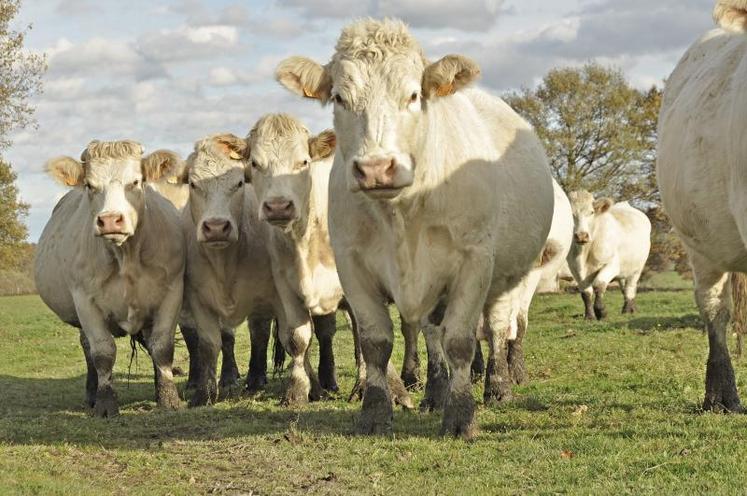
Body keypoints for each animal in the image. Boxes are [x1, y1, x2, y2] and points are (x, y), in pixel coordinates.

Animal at [34, 141, 187, 416]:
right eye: (89, 185)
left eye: (136, 182)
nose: (110, 220)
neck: (126, 258)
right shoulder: (84, 300)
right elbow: (103, 352)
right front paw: (105, 403)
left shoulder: (172, 292)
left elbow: (162, 347)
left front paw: (168, 399)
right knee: (87, 346)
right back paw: (92, 393)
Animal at [248, 113, 414, 406]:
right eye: (255, 163)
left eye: (303, 161)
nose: (278, 206)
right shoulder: (285, 288)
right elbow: (297, 339)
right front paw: (298, 391)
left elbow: (366, 336)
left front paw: (389, 389)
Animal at [276, 18, 556, 438]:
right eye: (340, 98)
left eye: (412, 95)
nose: (375, 168)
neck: (401, 216)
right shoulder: (352, 266)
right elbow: (376, 342)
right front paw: (376, 412)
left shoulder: (474, 262)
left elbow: (460, 342)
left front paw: (461, 416)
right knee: (433, 332)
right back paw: (435, 394)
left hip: (506, 278)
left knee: (494, 328)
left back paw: (497, 387)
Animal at [568, 190, 652, 322]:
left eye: (591, 212)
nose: (581, 236)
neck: (584, 253)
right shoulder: (575, 270)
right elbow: (586, 292)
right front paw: (589, 316)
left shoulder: (612, 265)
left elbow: (598, 285)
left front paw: (601, 312)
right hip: (624, 269)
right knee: (623, 287)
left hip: (637, 268)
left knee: (630, 287)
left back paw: (628, 310)